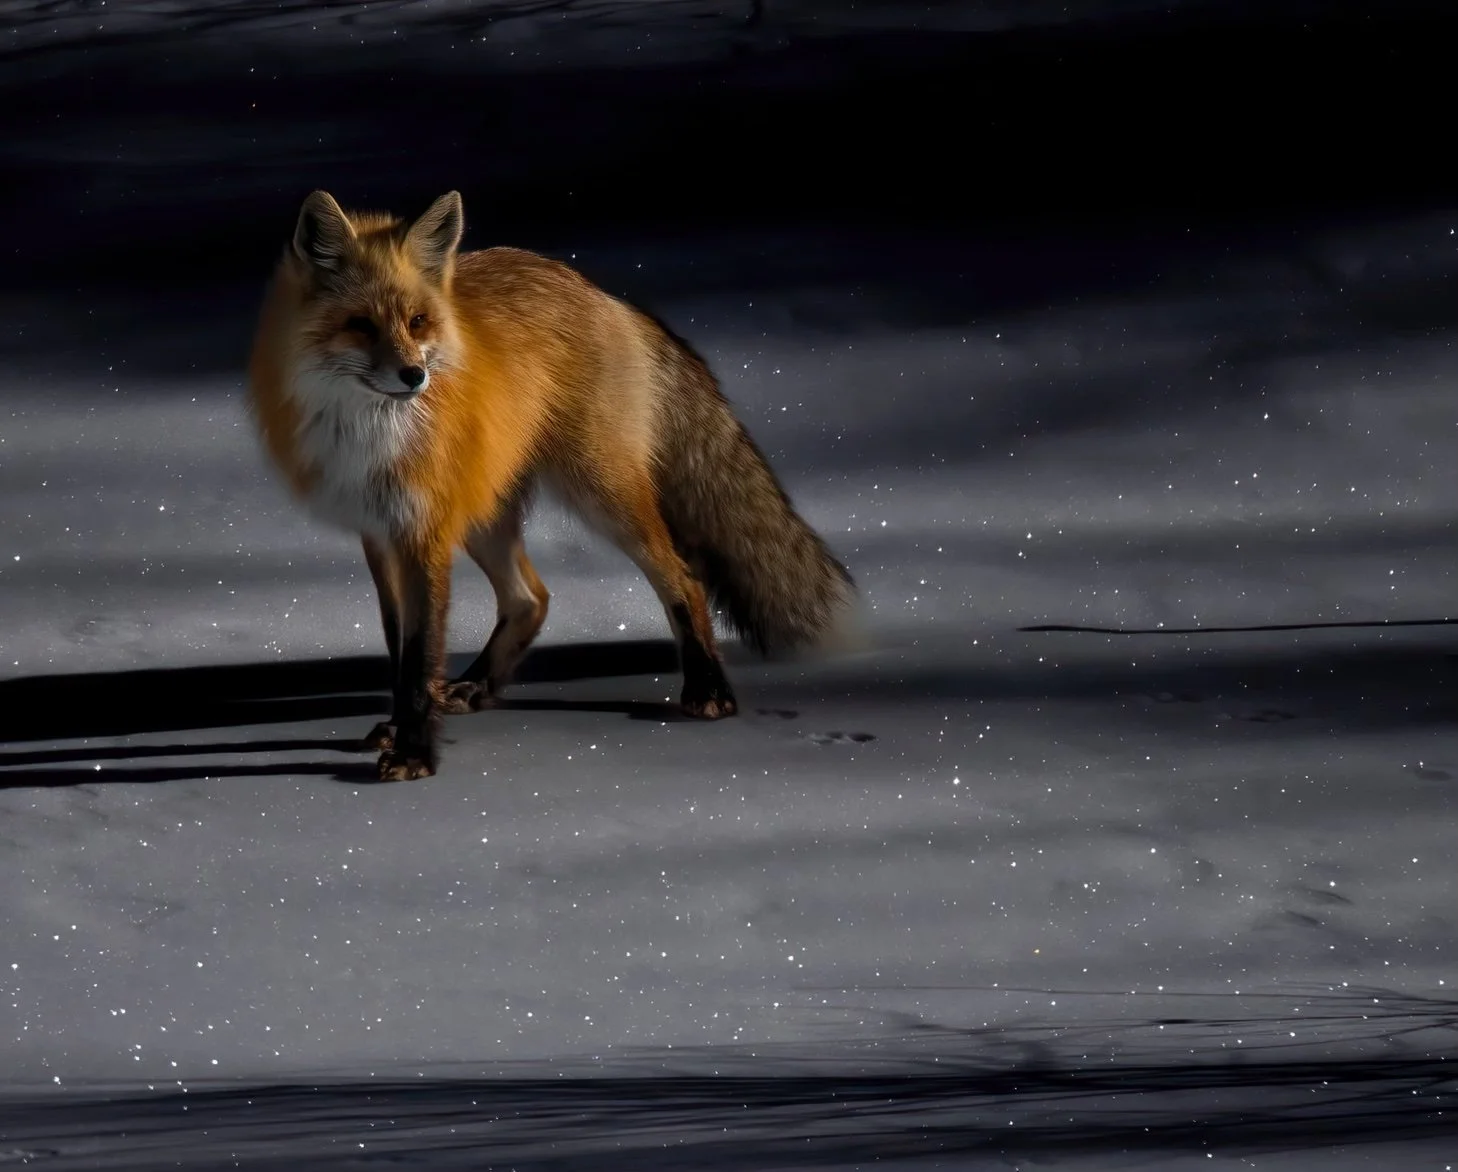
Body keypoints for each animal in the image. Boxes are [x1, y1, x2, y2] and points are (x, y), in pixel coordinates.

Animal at [247, 190, 856, 780]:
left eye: (418, 322)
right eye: (361, 325)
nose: (414, 376)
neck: (368, 434)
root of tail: (604, 295)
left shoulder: (424, 533)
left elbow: (420, 659)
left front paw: (414, 754)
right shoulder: (381, 535)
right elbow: (400, 653)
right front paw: (400, 731)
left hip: (601, 494)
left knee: (682, 578)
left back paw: (708, 689)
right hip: (486, 514)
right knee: (531, 598)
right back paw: (477, 685)